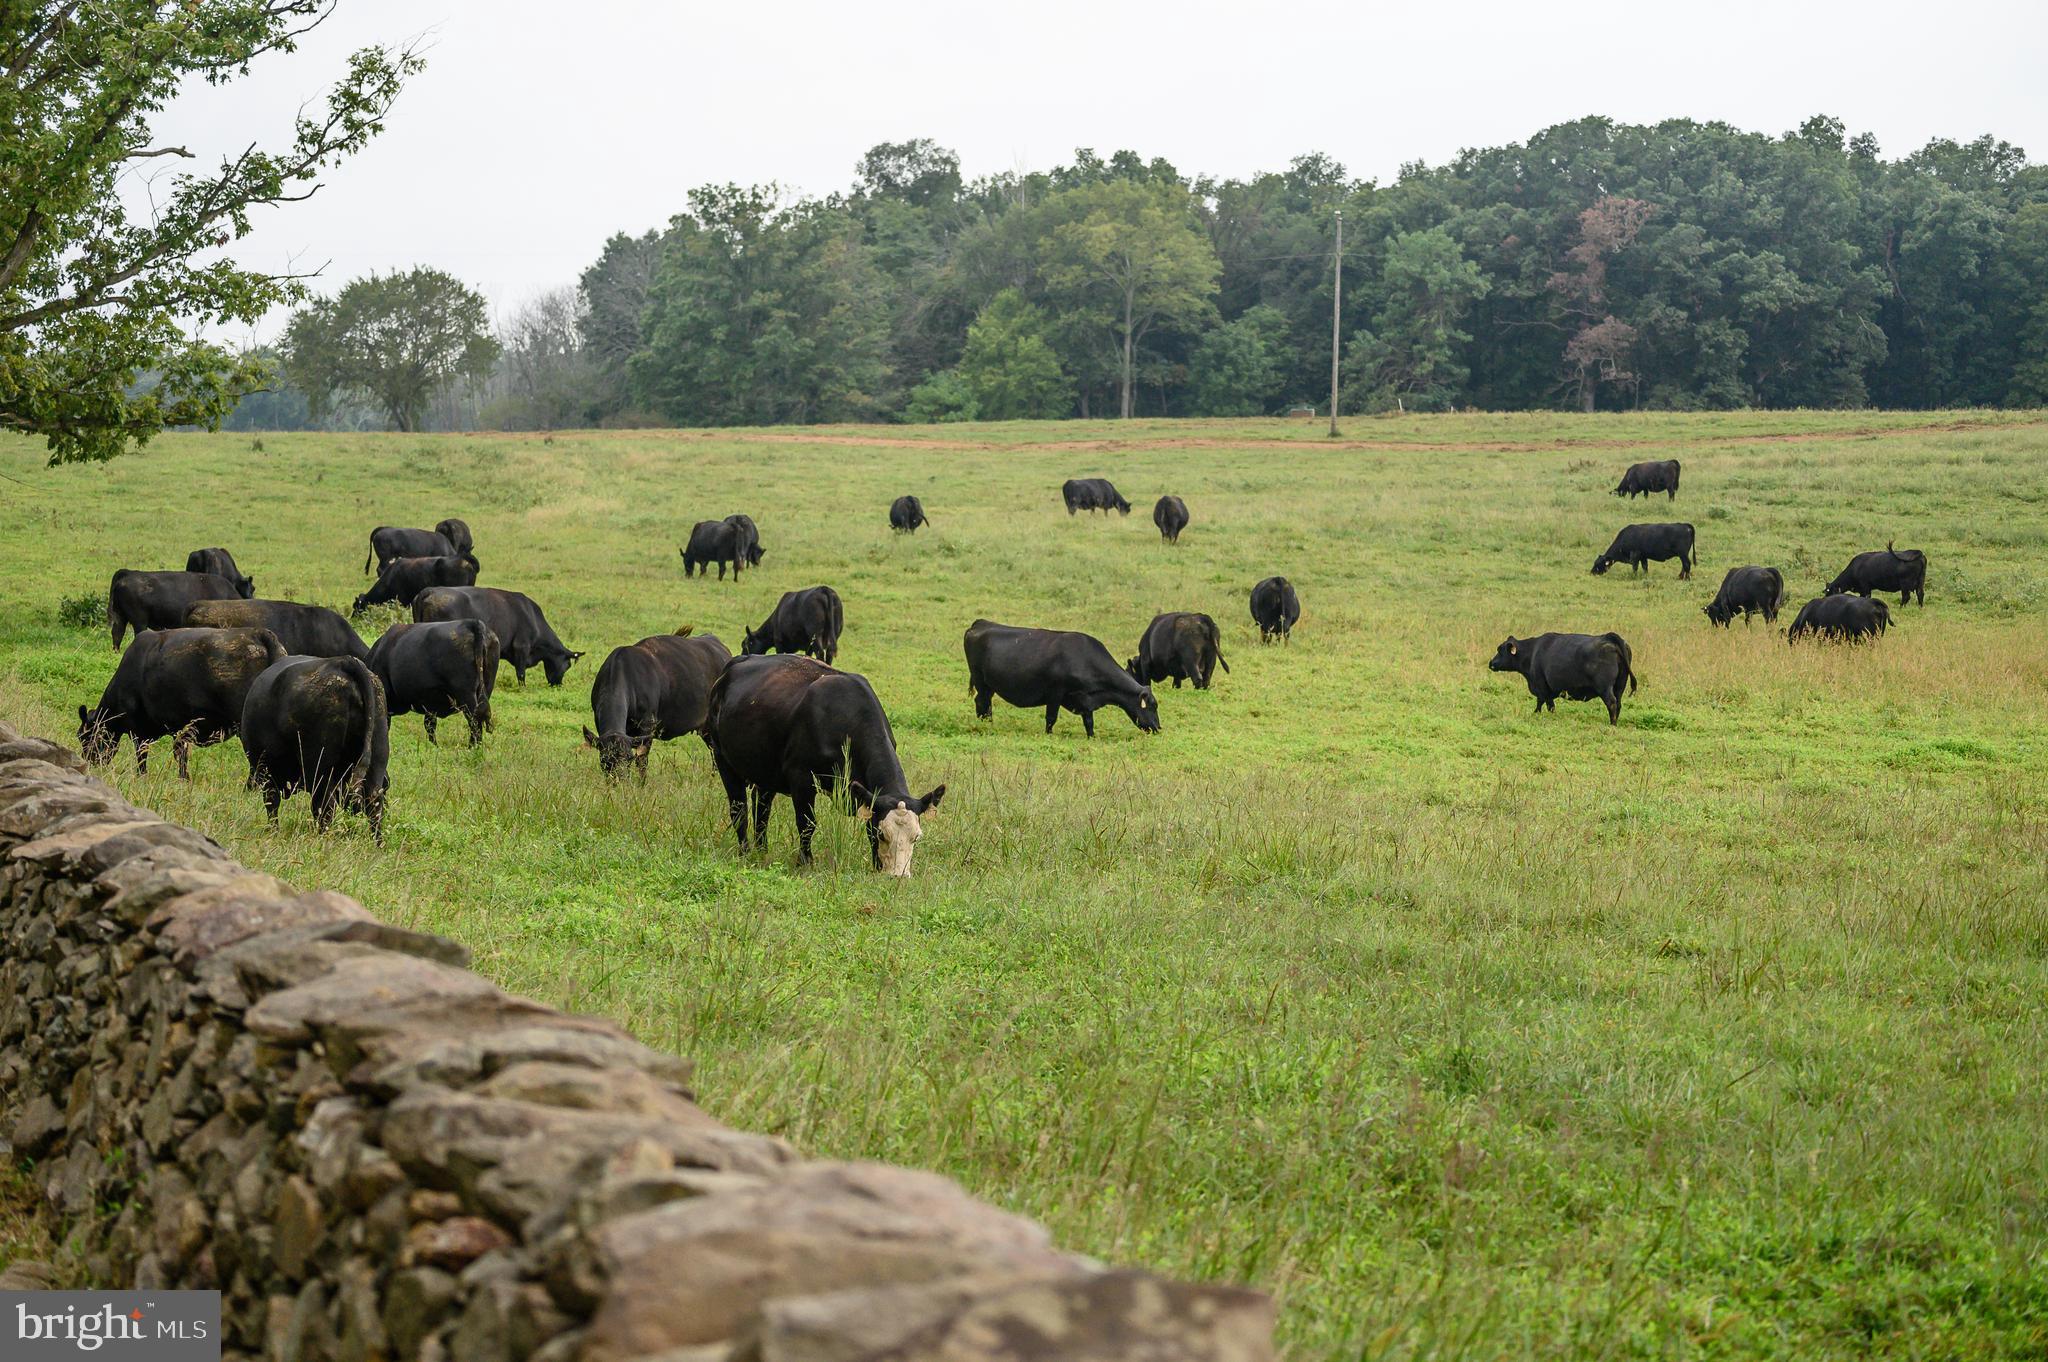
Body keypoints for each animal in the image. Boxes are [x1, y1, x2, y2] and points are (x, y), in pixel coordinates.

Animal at [240, 656, 391, 844]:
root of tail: (343, 661)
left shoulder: (266, 772)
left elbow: (271, 804)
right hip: (377, 756)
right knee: (374, 803)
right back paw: (378, 843)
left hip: (319, 767)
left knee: (324, 806)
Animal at [368, 619, 499, 746]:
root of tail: (472, 622)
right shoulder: (431, 704)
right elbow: (430, 725)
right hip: (485, 689)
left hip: (466, 695)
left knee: (474, 721)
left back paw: (472, 747)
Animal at [706, 653, 945, 876]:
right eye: (882, 834)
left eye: (916, 837)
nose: (898, 876)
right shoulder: (801, 778)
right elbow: (807, 823)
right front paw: (805, 862)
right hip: (722, 758)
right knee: (739, 809)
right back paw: (745, 852)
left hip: (765, 772)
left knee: (761, 810)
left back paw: (762, 851)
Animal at [963, 619, 1159, 737]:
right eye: (1152, 706)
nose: (1158, 728)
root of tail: (980, 623)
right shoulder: (1055, 693)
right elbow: (1051, 718)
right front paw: (1048, 735)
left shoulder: (1085, 699)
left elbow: (1089, 722)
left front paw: (1092, 737)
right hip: (981, 681)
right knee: (983, 703)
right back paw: (987, 725)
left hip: (988, 685)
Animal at [1488, 632, 1638, 725]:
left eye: (1500, 650)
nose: (1491, 663)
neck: (1533, 652)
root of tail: (1608, 637)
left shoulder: (1542, 687)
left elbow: (1546, 704)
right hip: (1620, 686)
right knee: (1618, 704)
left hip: (1605, 688)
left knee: (1612, 703)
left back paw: (1612, 724)